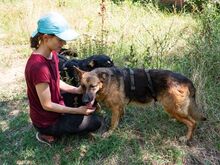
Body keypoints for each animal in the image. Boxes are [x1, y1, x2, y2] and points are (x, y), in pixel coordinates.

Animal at [75, 66, 206, 142]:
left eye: (93, 86)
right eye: (82, 86)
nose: (85, 101)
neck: (106, 82)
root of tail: (187, 80)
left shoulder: (115, 108)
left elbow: (112, 123)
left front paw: (109, 133)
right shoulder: (120, 107)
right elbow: (119, 116)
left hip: (172, 108)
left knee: (192, 123)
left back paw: (187, 138)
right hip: (174, 108)